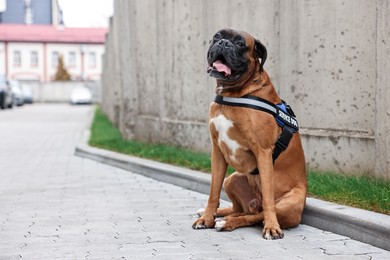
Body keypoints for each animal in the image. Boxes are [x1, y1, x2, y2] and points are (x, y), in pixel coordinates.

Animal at [193, 28, 308, 240]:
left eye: (240, 44)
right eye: (217, 36)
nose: (223, 43)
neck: (233, 93)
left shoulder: (263, 152)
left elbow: (269, 199)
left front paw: (272, 227)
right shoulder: (217, 151)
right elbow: (213, 191)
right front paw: (206, 218)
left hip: (288, 204)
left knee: (255, 215)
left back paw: (228, 222)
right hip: (232, 179)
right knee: (241, 210)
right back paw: (219, 215)